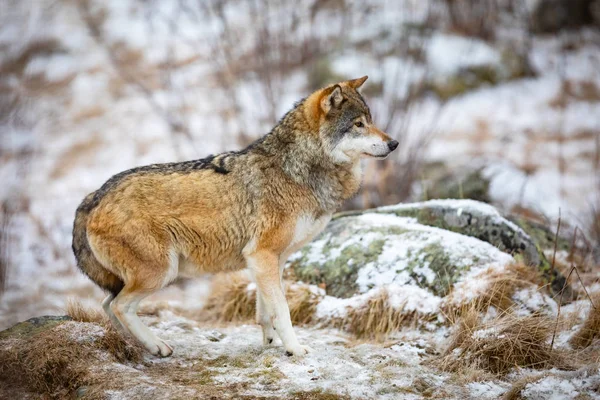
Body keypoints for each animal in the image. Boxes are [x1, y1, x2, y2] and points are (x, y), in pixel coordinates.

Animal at [71, 76, 398, 356]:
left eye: (370, 121)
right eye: (358, 124)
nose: (393, 143)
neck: (297, 169)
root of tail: (93, 197)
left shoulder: (269, 260)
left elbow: (266, 310)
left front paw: (270, 342)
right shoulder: (263, 255)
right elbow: (283, 310)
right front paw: (295, 349)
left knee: (107, 304)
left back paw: (129, 345)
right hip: (162, 272)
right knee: (120, 306)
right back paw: (157, 346)